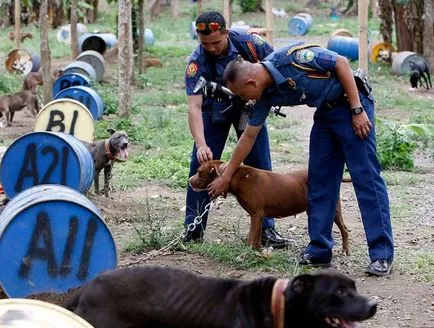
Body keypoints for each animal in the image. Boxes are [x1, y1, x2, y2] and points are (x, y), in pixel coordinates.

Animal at [190, 160, 350, 252]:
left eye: (199, 171)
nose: (189, 180)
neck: (239, 176)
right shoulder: (258, 217)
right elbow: (256, 239)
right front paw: (258, 251)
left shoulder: (256, 215)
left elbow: (251, 239)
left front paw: (246, 254)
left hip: (335, 211)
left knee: (344, 230)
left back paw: (344, 250)